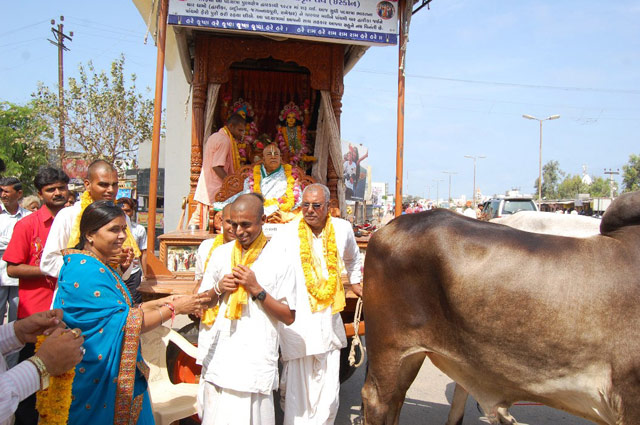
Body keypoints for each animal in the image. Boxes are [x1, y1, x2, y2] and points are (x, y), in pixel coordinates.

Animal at [360, 191, 640, 424]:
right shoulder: (628, 397)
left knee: (397, 399)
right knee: (377, 400)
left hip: (413, 354)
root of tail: (389, 227)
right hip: (388, 348)